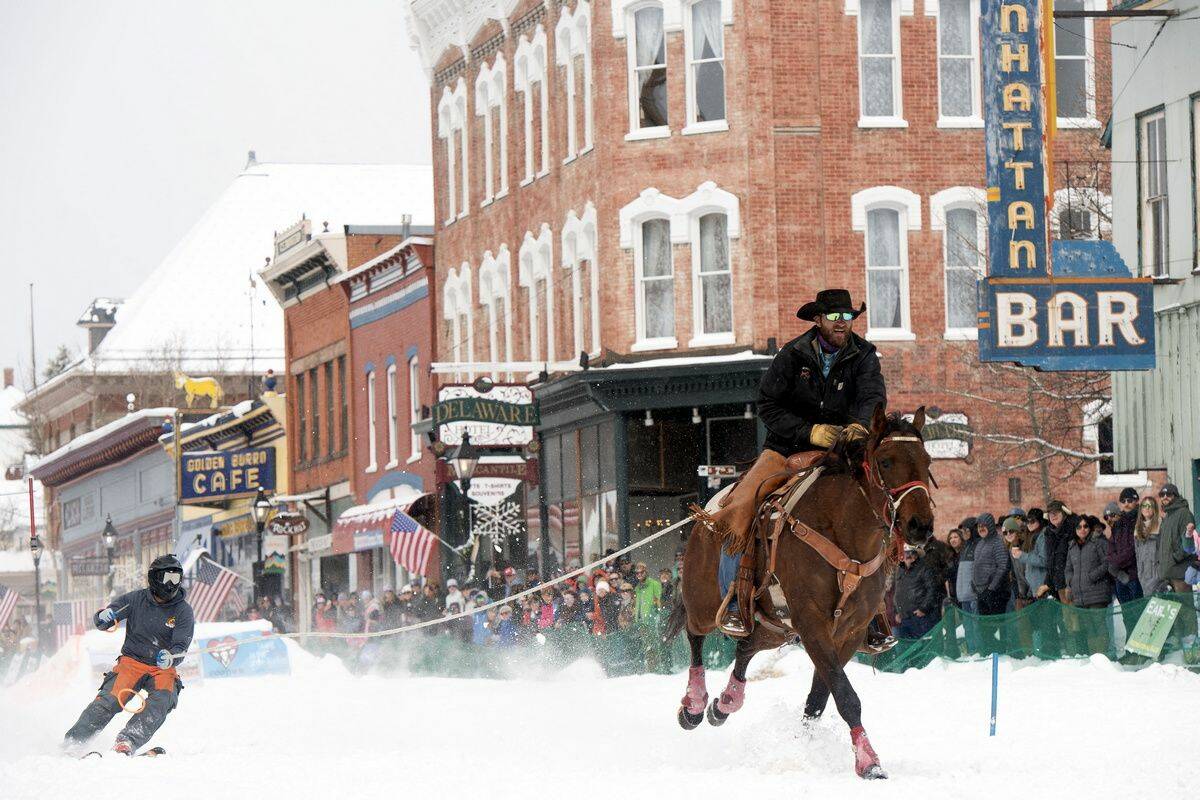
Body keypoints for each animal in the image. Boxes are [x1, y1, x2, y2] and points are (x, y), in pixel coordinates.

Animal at [672, 402, 931, 777]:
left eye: (927, 461)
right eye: (886, 461)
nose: (920, 525)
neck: (841, 530)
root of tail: (707, 516)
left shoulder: (848, 631)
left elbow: (821, 697)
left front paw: (806, 744)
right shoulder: (812, 623)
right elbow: (845, 695)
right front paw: (869, 761)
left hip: (774, 627)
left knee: (746, 648)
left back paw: (725, 703)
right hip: (705, 603)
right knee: (695, 635)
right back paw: (693, 705)